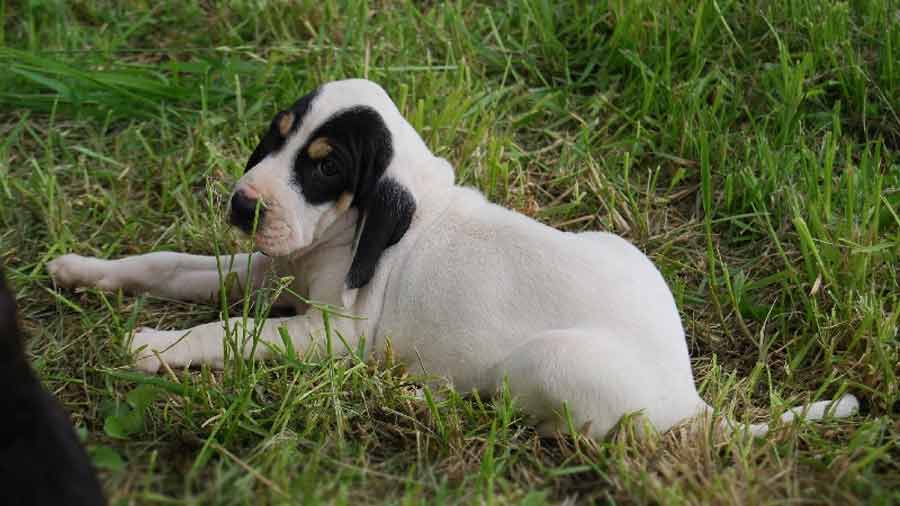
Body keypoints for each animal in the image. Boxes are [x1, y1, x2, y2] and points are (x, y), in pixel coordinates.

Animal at [47, 79, 856, 438]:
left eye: (325, 165)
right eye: (275, 138)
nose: (245, 206)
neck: (355, 229)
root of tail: (688, 399)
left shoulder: (330, 337)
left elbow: (232, 332)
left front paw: (155, 346)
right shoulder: (266, 269)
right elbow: (165, 264)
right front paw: (82, 270)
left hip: (549, 364)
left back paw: (422, 397)